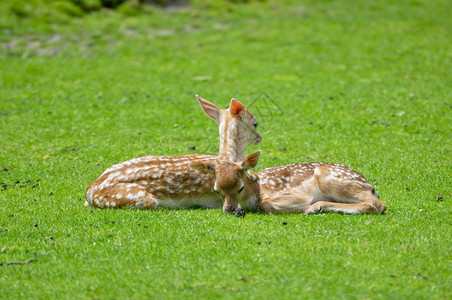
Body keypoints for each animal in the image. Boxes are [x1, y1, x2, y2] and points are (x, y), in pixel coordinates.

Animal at [190, 151, 384, 214]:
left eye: (240, 188)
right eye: (217, 190)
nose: (229, 209)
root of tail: (370, 185)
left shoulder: (294, 193)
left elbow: (266, 204)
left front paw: (306, 207)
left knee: (377, 204)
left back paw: (315, 207)